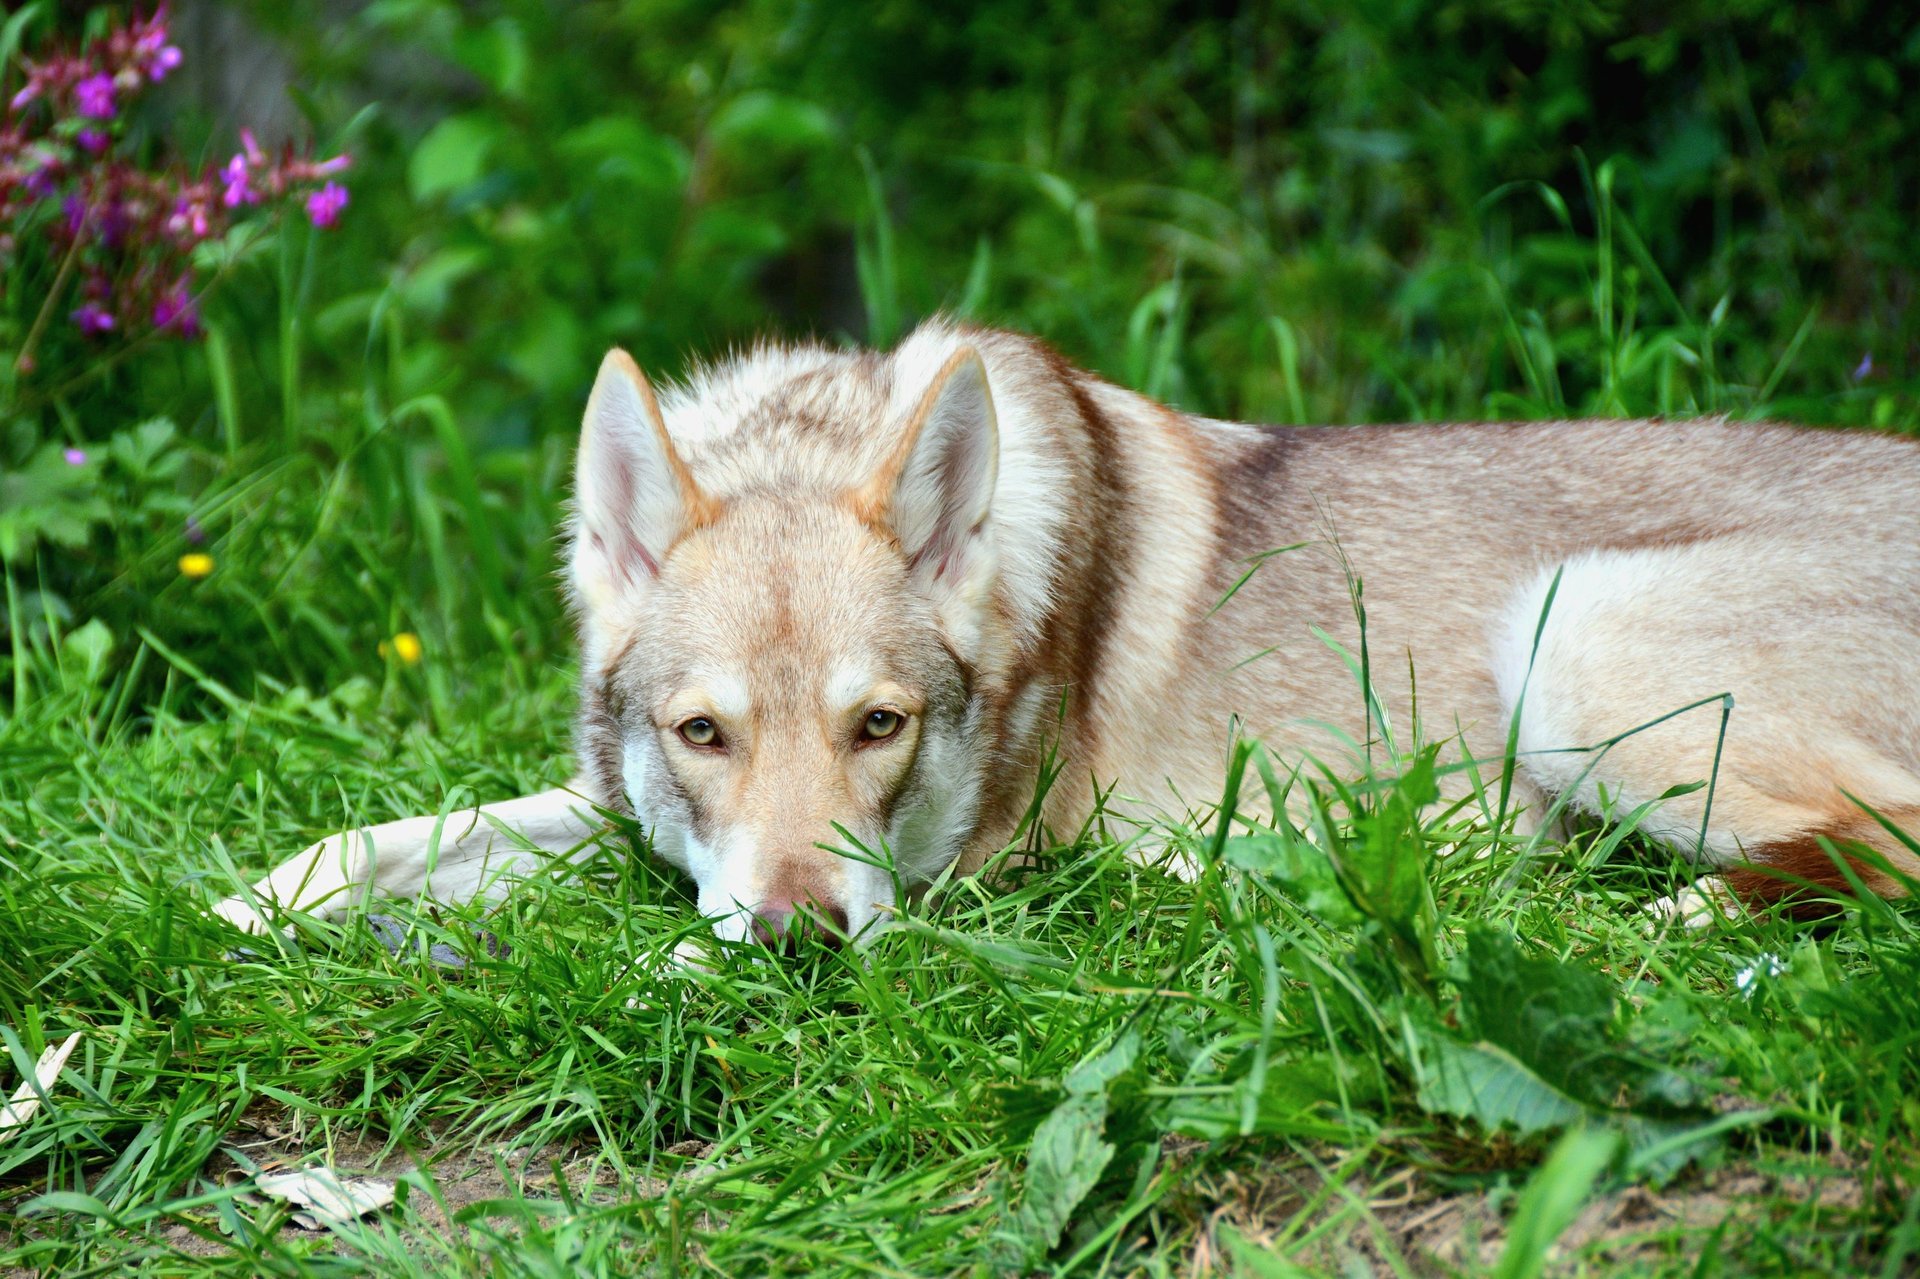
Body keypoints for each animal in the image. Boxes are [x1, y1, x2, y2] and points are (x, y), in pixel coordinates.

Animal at [212, 318, 1920, 948]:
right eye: (702, 733)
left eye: (880, 726)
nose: (802, 940)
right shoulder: (611, 803)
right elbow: (391, 836)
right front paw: (242, 906)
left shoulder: (962, 869)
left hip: (1574, 639)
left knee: (1872, 854)